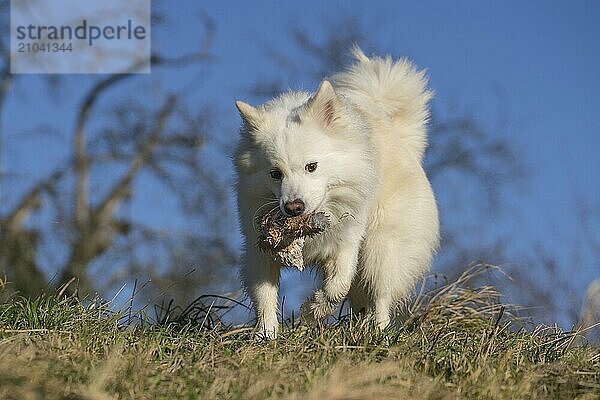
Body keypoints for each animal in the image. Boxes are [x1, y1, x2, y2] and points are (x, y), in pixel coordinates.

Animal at [236, 49, 440, 338]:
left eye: (311, 167)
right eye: (275, 173)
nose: (293, 208)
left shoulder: (346, 243)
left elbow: (337, 286)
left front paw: (312, 312)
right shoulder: (259, 249)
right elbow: (264, 295)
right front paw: (266, 335)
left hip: (381, 250)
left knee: (381, 296)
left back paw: (378, 335)